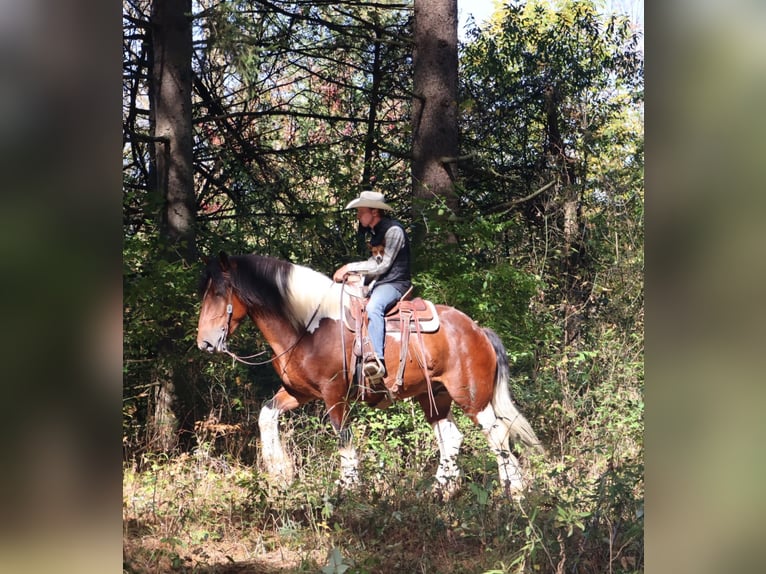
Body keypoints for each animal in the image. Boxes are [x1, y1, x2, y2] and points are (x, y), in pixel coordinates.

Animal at [196, 252, 543, 497]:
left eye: (219, 293)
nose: (205, 342)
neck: (308, 328)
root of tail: (478, 331)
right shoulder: (299, 392)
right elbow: (266, 416)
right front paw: (280, 472)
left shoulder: (334, 394)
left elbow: (343, 436)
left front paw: (347, 487)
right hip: (434, 396)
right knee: (451, 437)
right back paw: (440, 491)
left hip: (471, 397)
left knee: (497, 433)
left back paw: (514, 491)